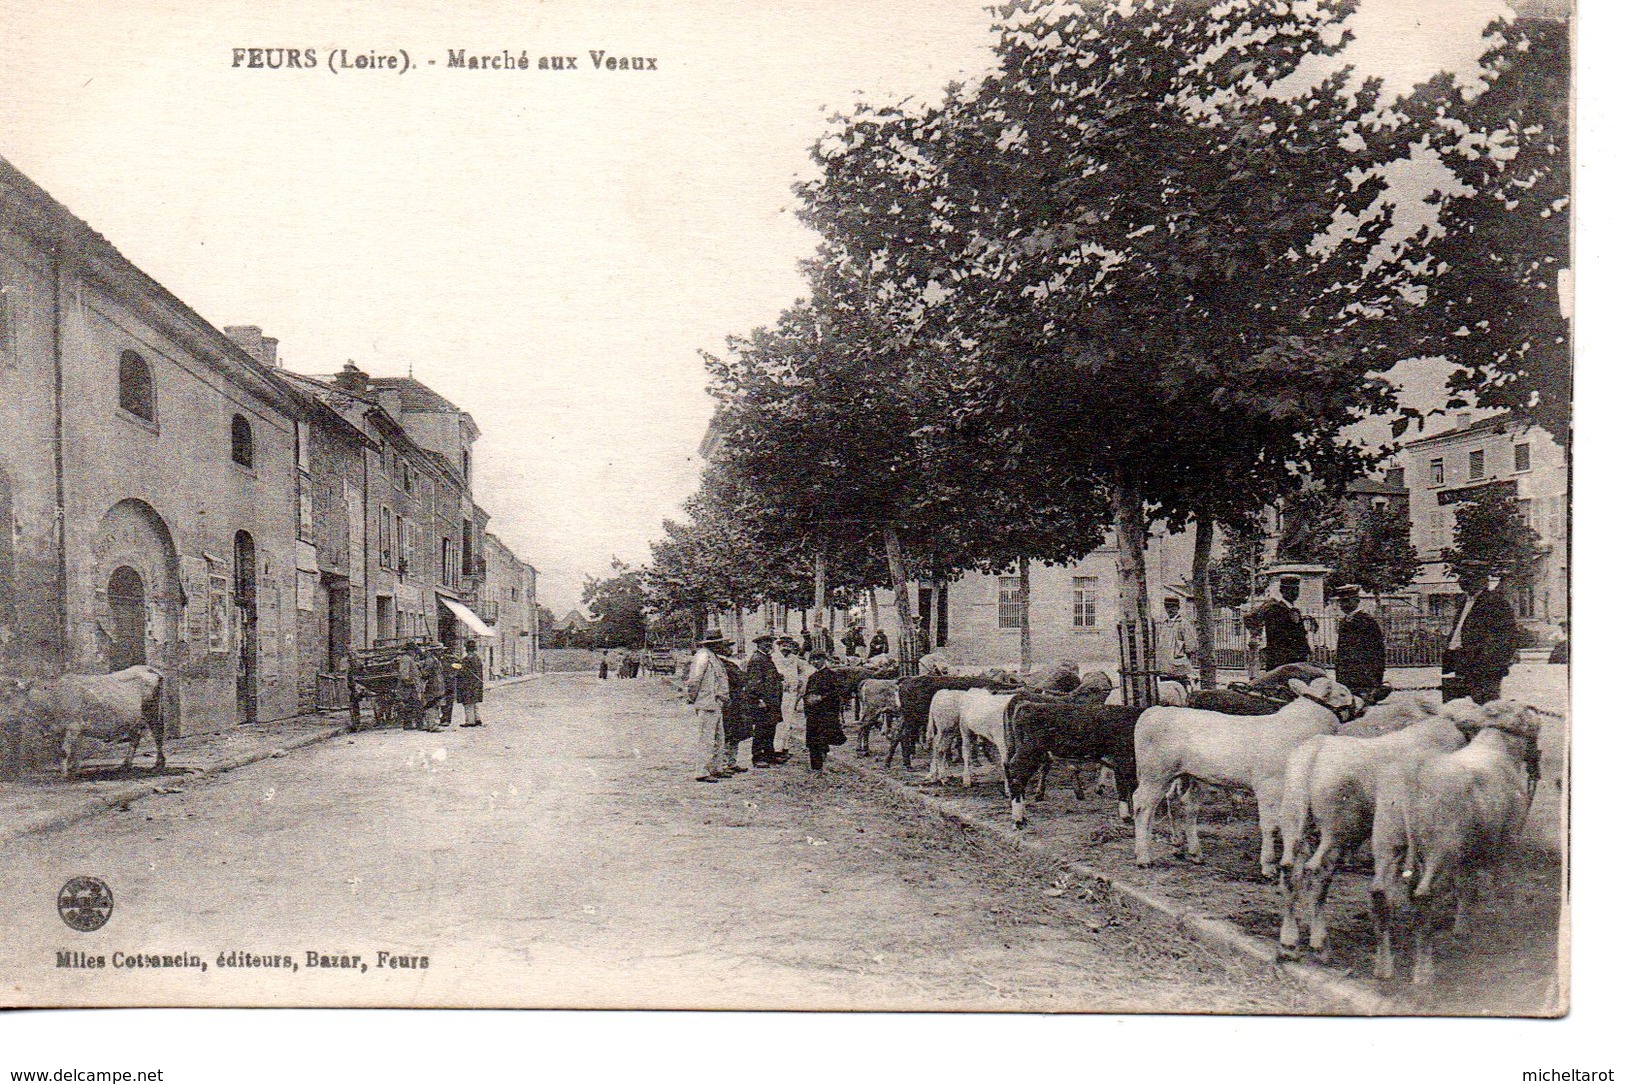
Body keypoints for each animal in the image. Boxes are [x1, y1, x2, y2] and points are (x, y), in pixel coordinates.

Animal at [1131, 679, 1358, 884]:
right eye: (1343, 693)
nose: (1361, 702)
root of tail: (1155, 711)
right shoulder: (1269, 786)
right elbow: (1271, 825)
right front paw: (1268, 867)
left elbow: (1290, 822)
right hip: (1155, 774)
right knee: (1143, 806)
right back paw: (1143, 856)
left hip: (1188, 775)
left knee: (1183, 805)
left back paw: (1192, 852)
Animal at [1365, 698, 1540, 988]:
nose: (1536, 764)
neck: (1497, 748)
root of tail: (1413, 777)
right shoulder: (1507, 840)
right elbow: (1500, 882)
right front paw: (1504, 918)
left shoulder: (1466, 851)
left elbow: (1465, 886)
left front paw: (1461, 928)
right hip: (1439, 847)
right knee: (1423, 896)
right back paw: (1424, 971)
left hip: (1387, 839)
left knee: (1381, 893)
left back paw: (1383, 967)